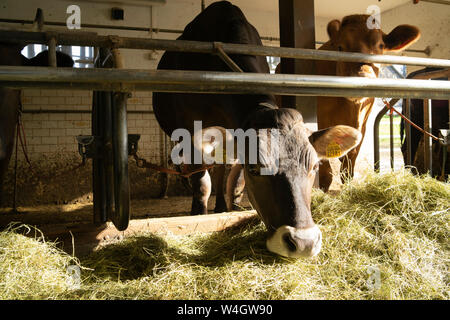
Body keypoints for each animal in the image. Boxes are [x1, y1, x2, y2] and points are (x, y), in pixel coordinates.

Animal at [314, 15, 420, 190]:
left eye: (381, 46)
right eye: (340, 47)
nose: (362, 76)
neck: (351, 108)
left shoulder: (362, 126)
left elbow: (348, 167)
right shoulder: (321, 118)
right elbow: (325, 173)